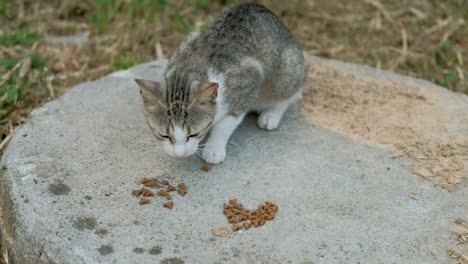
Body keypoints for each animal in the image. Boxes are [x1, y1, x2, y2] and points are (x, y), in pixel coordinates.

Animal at [133, 3, 306, 164]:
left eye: (194, 134)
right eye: (163, 135)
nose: (180, 154)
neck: (186, 71)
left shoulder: (248, 80)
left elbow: (225, 125)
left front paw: (213, 148)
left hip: (286, 72)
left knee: (291, 92)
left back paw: (272, 114)